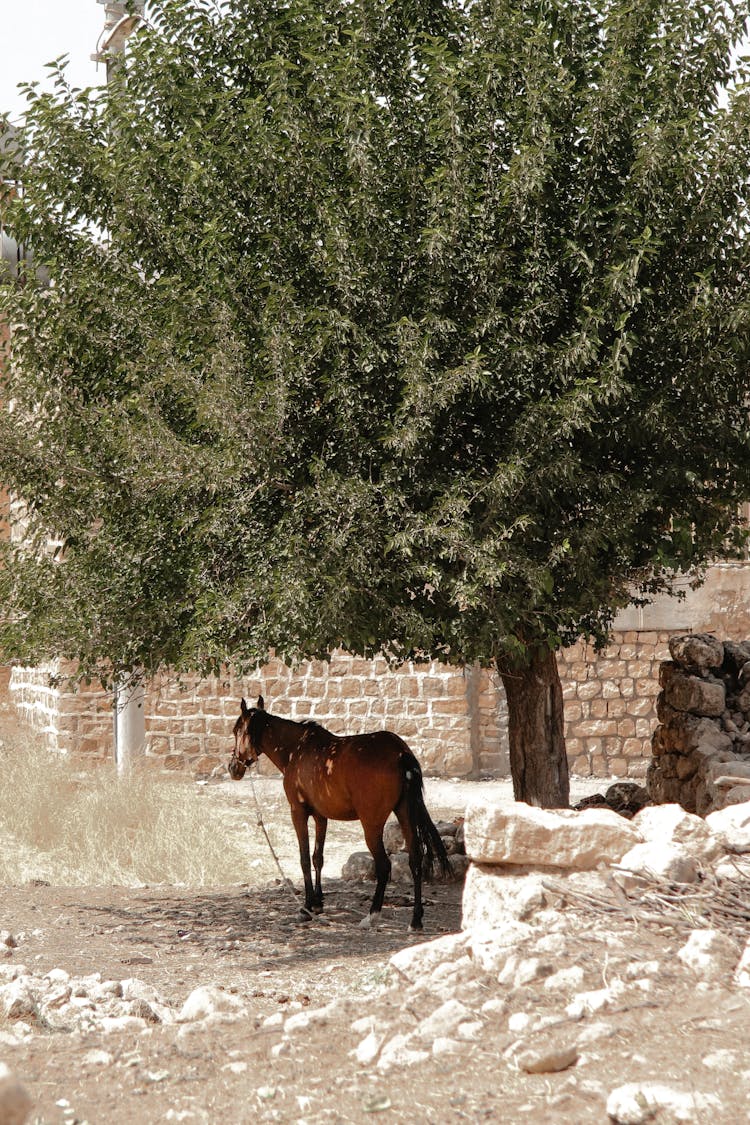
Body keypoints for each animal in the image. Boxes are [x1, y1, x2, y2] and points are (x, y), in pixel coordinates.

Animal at [229, 693, 452, 931]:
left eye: (236, 731)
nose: (233, 768)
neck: (297, 749)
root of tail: (401, 754)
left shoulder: (298, 812)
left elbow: (304, 859)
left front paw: (306, 908)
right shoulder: (321, 816)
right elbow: (318, 857)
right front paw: (318, 903)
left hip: (372, 825)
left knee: (384, 865)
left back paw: (372, 915)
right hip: (404, 814)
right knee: (415, 860)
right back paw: (416, 920)